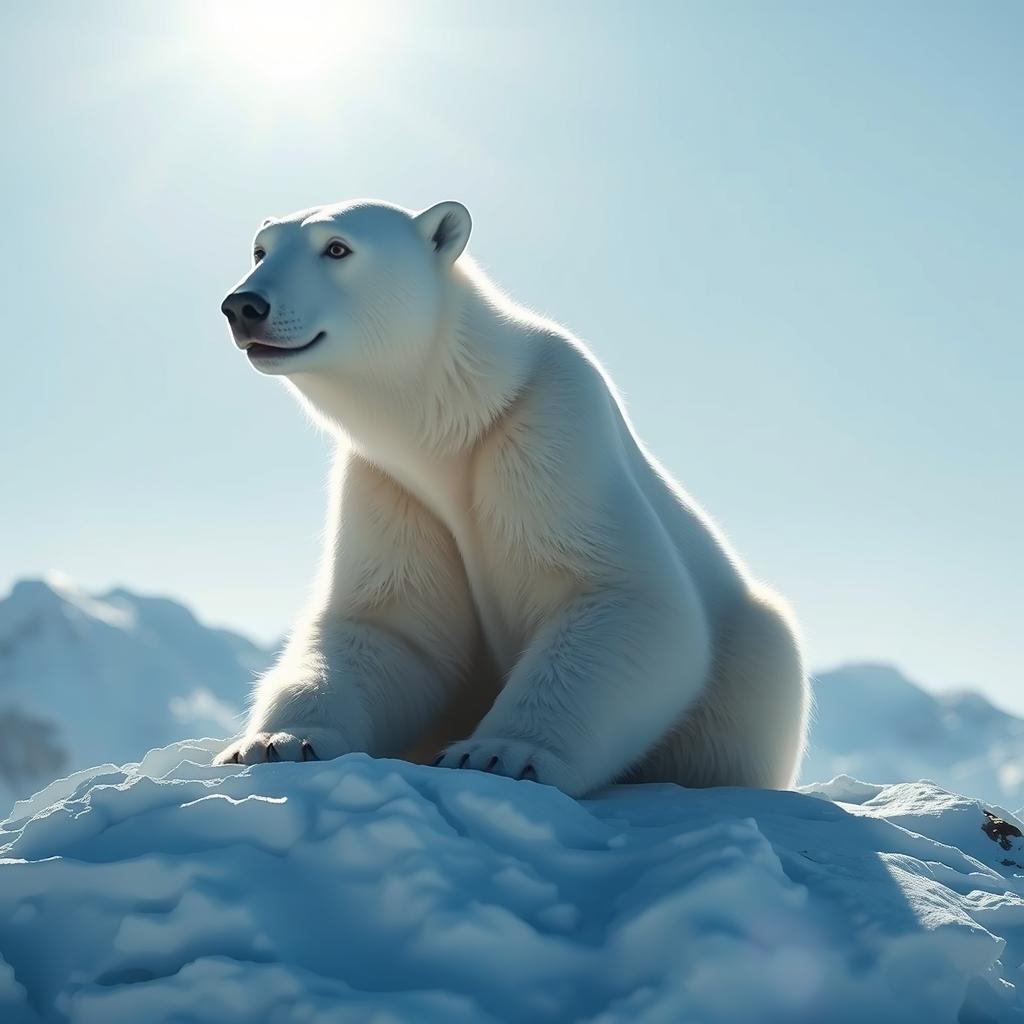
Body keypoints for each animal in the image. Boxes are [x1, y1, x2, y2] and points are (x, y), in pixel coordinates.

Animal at [216, 195, 806, 794]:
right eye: (260, 249)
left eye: (337, 248)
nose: (244, 305)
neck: (458, 420)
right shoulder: (393, 485)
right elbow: (389, 626)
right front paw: (277, 742)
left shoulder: (549, 431)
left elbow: (620, 594)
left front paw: (499, 753)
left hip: (752, 675)